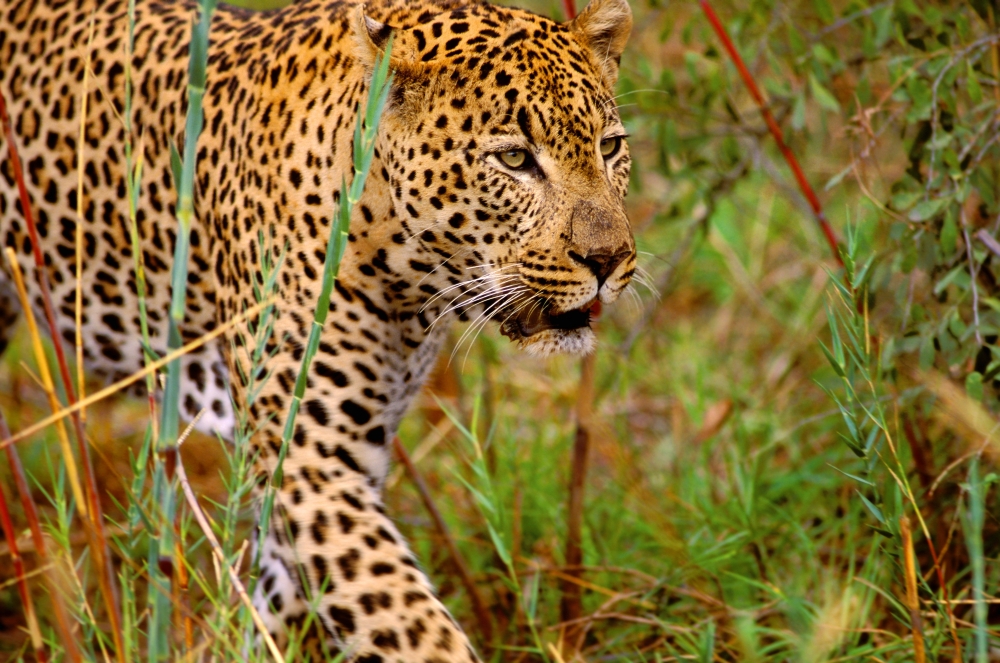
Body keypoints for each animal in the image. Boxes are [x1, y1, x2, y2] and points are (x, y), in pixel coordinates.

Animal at [0, 0, 635, 659]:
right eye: (514, 159)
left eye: (610, 147)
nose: (610, 259)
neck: (409, 280)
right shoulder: (310, 464)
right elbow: (418, 630)